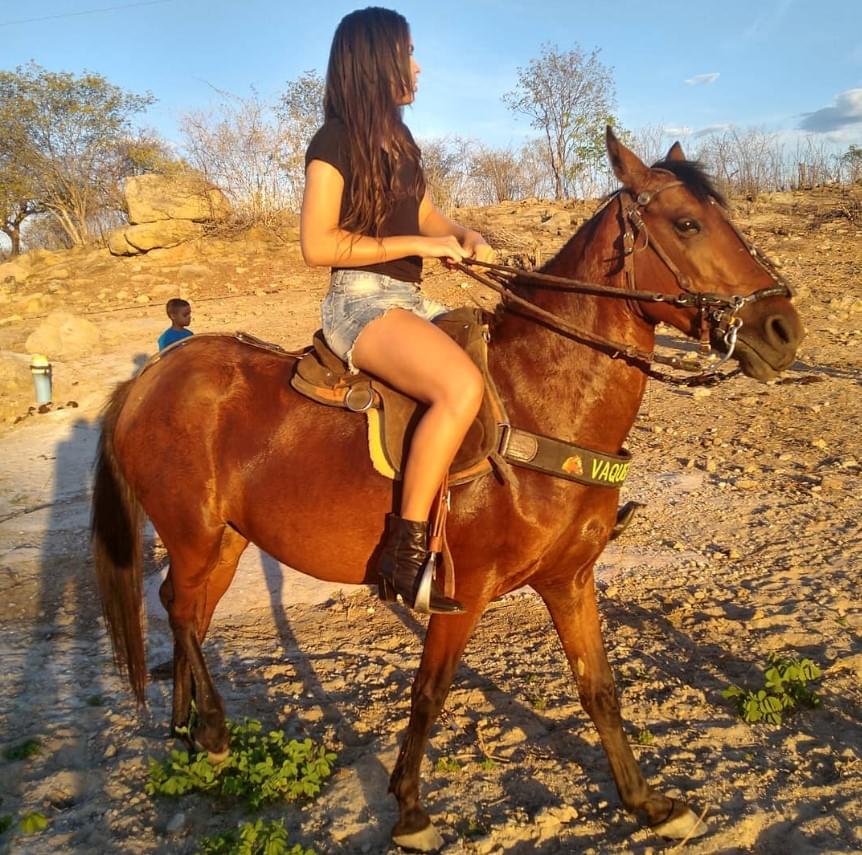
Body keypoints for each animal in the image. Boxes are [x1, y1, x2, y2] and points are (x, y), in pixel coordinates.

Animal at [91, 129, 803, 851]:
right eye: (686, 224)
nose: (783, 329)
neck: (536, 405)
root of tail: (146, 380)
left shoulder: (571, 579)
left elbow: (599, 689)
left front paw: (647, 802)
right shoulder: (462, 590)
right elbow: (430, 692)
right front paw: (409, 810)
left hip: (227, 539)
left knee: (192, 613)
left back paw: (186, 732)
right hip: (193, 532)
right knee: (180, 609)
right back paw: (209, 731)